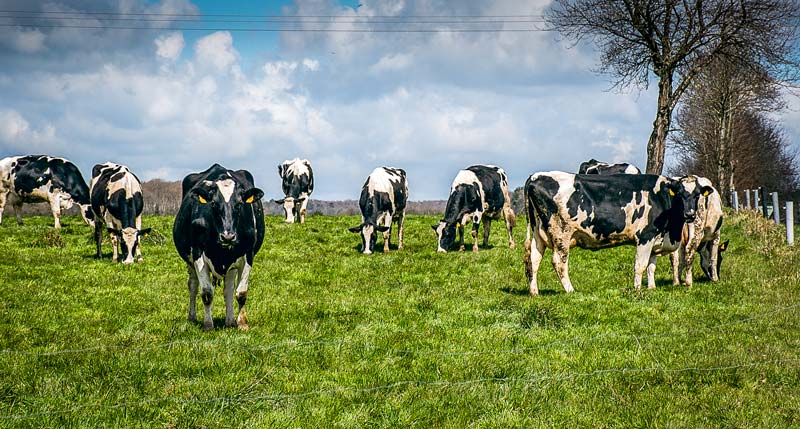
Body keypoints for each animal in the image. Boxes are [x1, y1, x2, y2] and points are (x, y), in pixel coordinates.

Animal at [173, 164, 264, 332]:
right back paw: (192, 318)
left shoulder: (248, 254)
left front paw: (242, 324)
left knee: (228, 289)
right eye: (214, 204)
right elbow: (207, 293)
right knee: (193, 285)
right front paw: (208, 325)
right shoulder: (198, 253)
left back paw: (230, 321)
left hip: (232, 265)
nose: (228, 236)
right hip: (190, 262)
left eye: (239, 204)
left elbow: (241, 292)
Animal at [524, 171, 712, 294]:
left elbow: (651, 266)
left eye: (697, 195)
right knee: (559, 262)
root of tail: (535, 176)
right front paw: (637, 289)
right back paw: (570, 290)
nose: (690, 214)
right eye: (679, 194)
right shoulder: (645, 236)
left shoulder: (655, 239)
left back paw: (534, 292)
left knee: (533, 259)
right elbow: (640, 265)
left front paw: (651, 288)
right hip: (561, 233)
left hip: (538, 233)